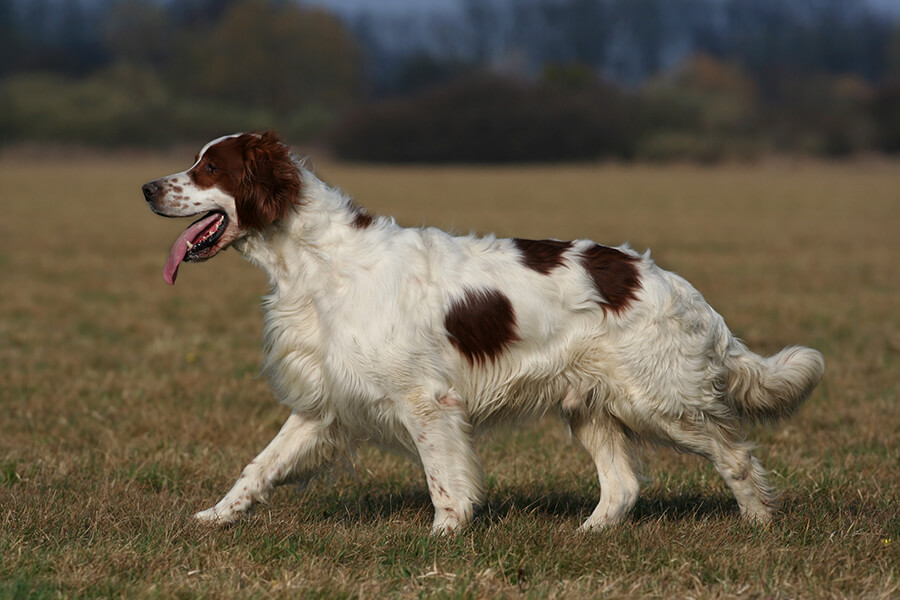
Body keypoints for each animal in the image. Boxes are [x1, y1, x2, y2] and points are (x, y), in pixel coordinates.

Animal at [141, 132, 824, 536]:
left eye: (208, 167)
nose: (146, 187)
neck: (316, 262)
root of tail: (674, 285)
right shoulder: (325, 402)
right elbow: (258, 467)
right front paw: (214, 517)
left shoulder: (426, 402)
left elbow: (445, 481)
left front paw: (443, 539)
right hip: (592, 405)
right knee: (623, 485)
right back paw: (589, 534)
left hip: (660, 401)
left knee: (735, 456)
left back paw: (759, 525)